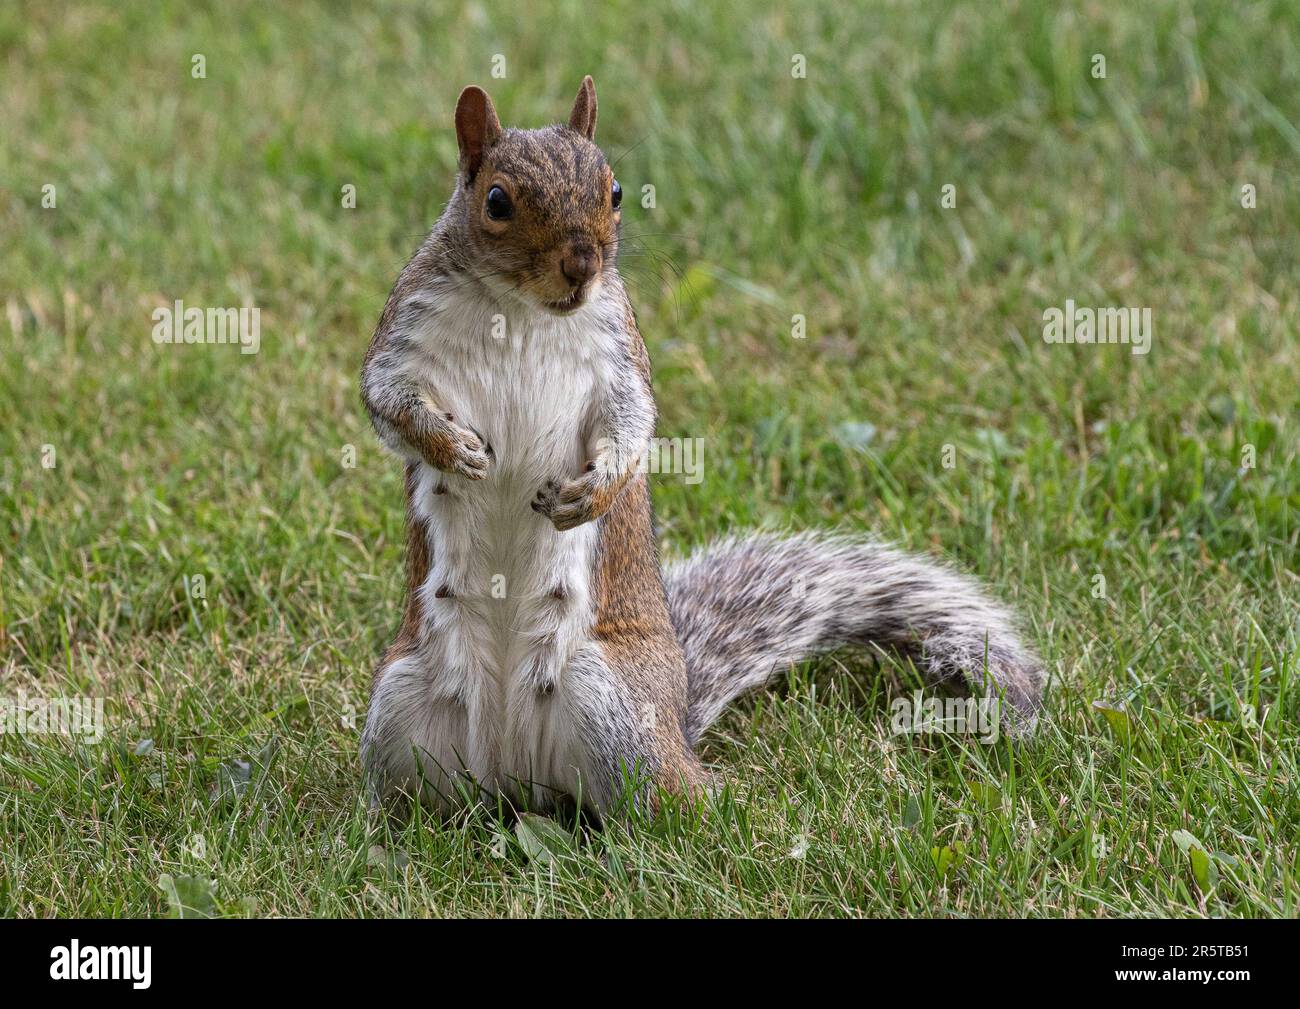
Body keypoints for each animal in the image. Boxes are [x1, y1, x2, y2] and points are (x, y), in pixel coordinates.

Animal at [359, 76, 1046, 816]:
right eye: (496, 201)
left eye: (615, 190)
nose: (582, 265)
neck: (517, 309)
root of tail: (517, 777)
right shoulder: (406, 330)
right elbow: (386, 399)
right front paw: (452, 448)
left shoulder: (618, 348)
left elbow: (633, 423)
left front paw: (593, 493)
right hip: (399, 704)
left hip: (616, 709)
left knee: (674, 801)